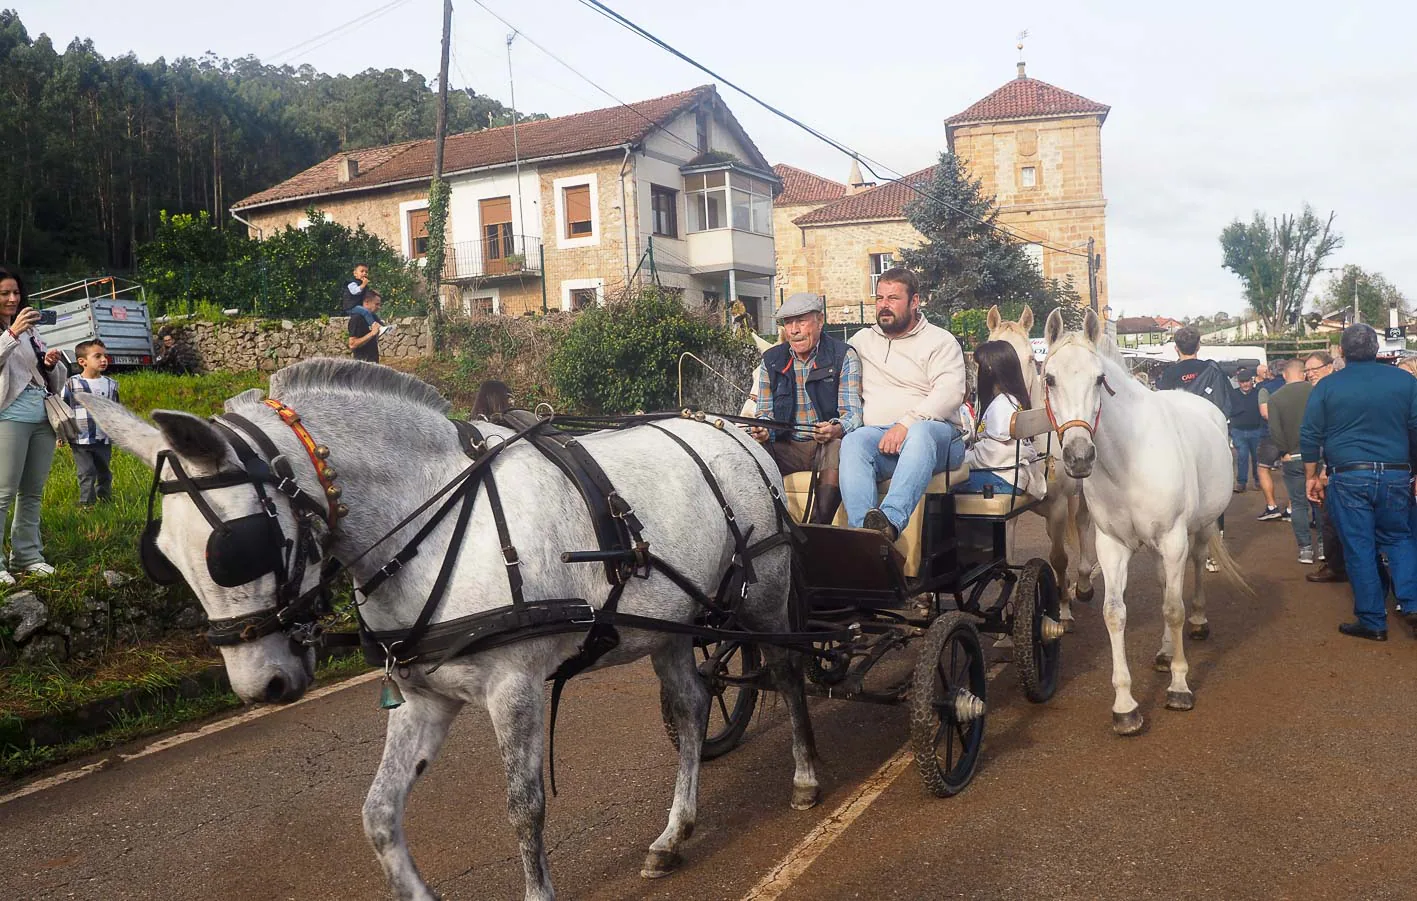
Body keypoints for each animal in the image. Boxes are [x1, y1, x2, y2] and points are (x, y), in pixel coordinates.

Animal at [80, 358, 821, 901]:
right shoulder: (422, 697)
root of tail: (735, 433)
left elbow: (524, 807)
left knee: (786, 671)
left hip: (764, 594)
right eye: (163, 558)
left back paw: (806, 777)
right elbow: (378, 814)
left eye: (235, 547)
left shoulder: (514, 685)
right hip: (667, 624)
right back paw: (674, 833)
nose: (259, 684)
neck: (430, 516)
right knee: (690, 707)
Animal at [991, 303, 1099, 626]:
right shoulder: (1007, 511)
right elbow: (1004, 561)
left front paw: (1061, 608)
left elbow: (1059, 558)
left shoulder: (1060, 504)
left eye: (1029, 358)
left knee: (1083, 524)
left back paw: (1083, 585)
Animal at [1037, 307, 1246, 731]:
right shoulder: (1112, 545)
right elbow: (1114, 614)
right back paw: (1164, 653)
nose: (1079, 457)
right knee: (1166, 583)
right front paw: (1125, 706)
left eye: (1099, 379)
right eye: (1050, 379)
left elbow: (1173, 609)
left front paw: (1180, 688)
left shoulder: (1174, 538)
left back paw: (1198, 623)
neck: (1127, 461)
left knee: (1195, 570)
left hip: (1200, 530)